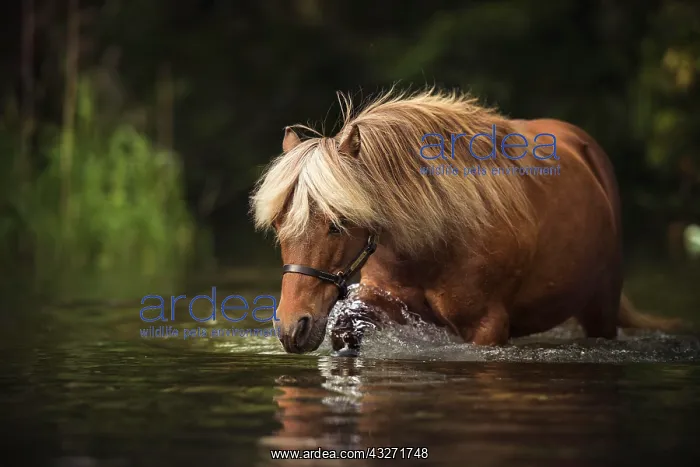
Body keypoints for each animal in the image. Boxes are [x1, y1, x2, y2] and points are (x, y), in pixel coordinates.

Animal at [250, 88, 685, 354]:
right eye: (279, 227)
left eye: (338, 222)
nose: (291, 327)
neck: (436, 242)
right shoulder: (386, 301)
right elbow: (346, 326)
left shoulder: (486, 329)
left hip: (601, 309)